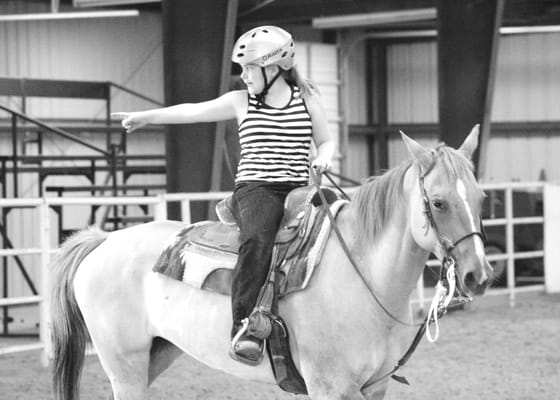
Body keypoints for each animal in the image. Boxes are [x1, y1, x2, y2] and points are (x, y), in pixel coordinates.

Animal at [51, 127, 490, 400]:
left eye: (482, 197)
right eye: (438, 202)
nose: (479, 276)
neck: (362, 277)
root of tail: (104, 241)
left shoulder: (375, 387)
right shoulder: (331, 386)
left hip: (154, 355)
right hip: (123, 362)